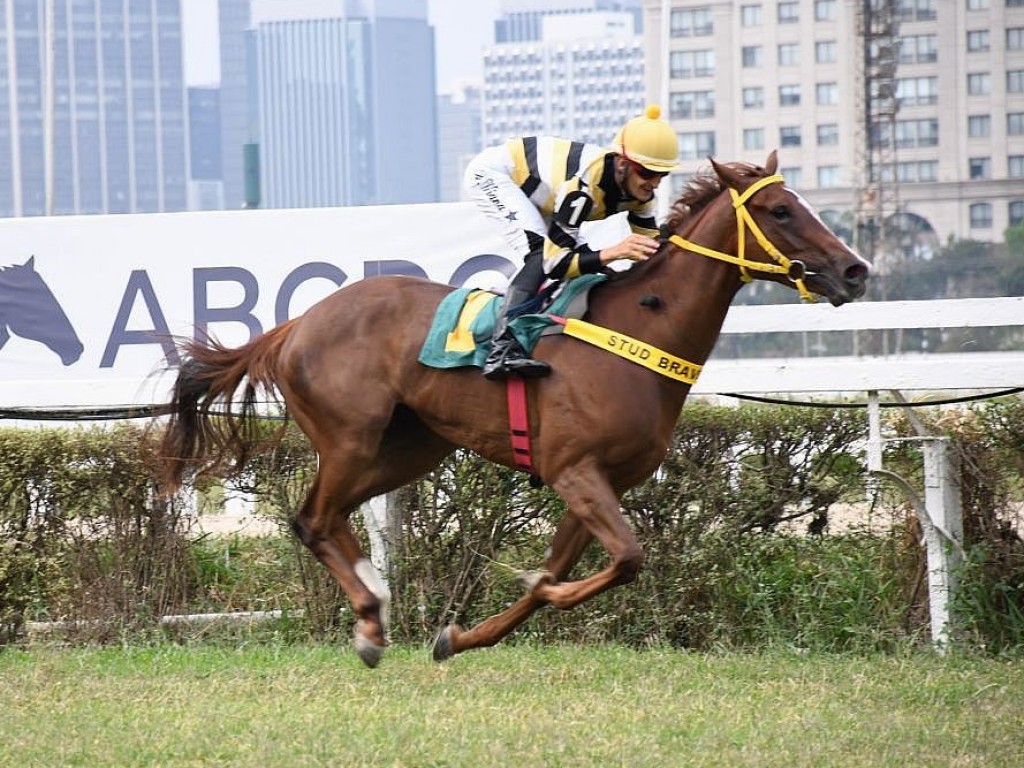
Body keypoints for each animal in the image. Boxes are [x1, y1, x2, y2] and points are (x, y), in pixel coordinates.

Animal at [155, 151, 868, 667]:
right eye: (780, 209)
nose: (856, 272)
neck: (640, 329)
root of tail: (296, 324)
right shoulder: (574, 471)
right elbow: (623, 560)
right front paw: (533, 585)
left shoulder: (598, 483)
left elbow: (581, 572)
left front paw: (463, 634)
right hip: (351, 437)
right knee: (311, 519)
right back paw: (369, 619)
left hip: (411, 448)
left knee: (327, 518)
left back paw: (375, 609)